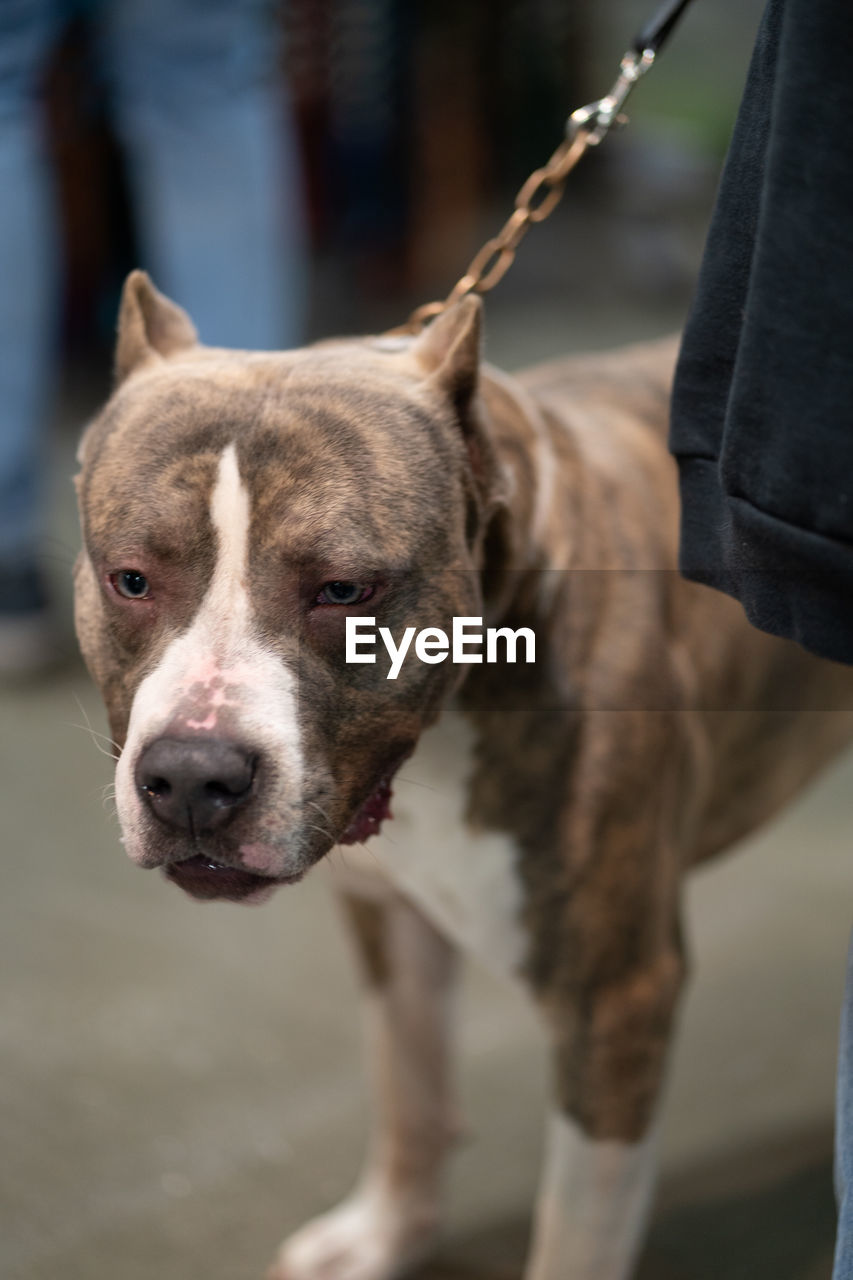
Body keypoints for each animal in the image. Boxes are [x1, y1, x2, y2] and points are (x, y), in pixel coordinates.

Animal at [73, 272, 850, 1280]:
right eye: (129, 579)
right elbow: (405, 1084)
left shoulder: (613, 1002)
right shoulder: (388, 918)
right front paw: (387, 1233)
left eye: (344, 590)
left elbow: (572, 1235)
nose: (192, 777)